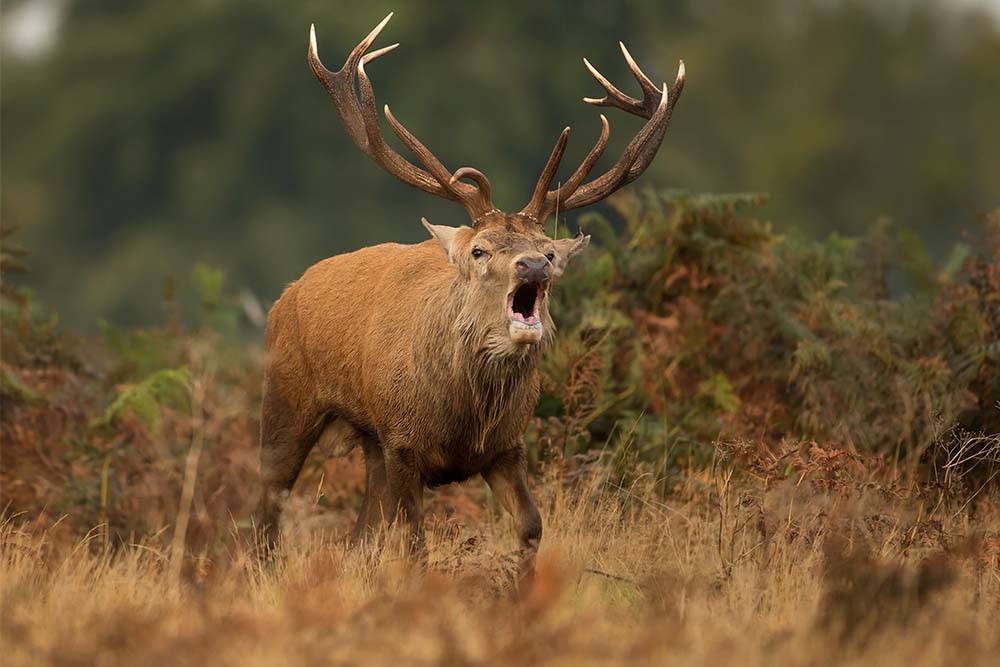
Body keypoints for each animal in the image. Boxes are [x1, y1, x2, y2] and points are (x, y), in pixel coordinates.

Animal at [256, 12, 684, 571]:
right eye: (480, 251)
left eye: (549, 252)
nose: (533, 265)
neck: (462, 419)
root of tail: (286, 295)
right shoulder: (403, 441)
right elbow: (414, 541)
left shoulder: (506, 445)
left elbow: (531, 526)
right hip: (287, 397)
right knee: (268, 505)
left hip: (369, 440)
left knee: (360, 531)